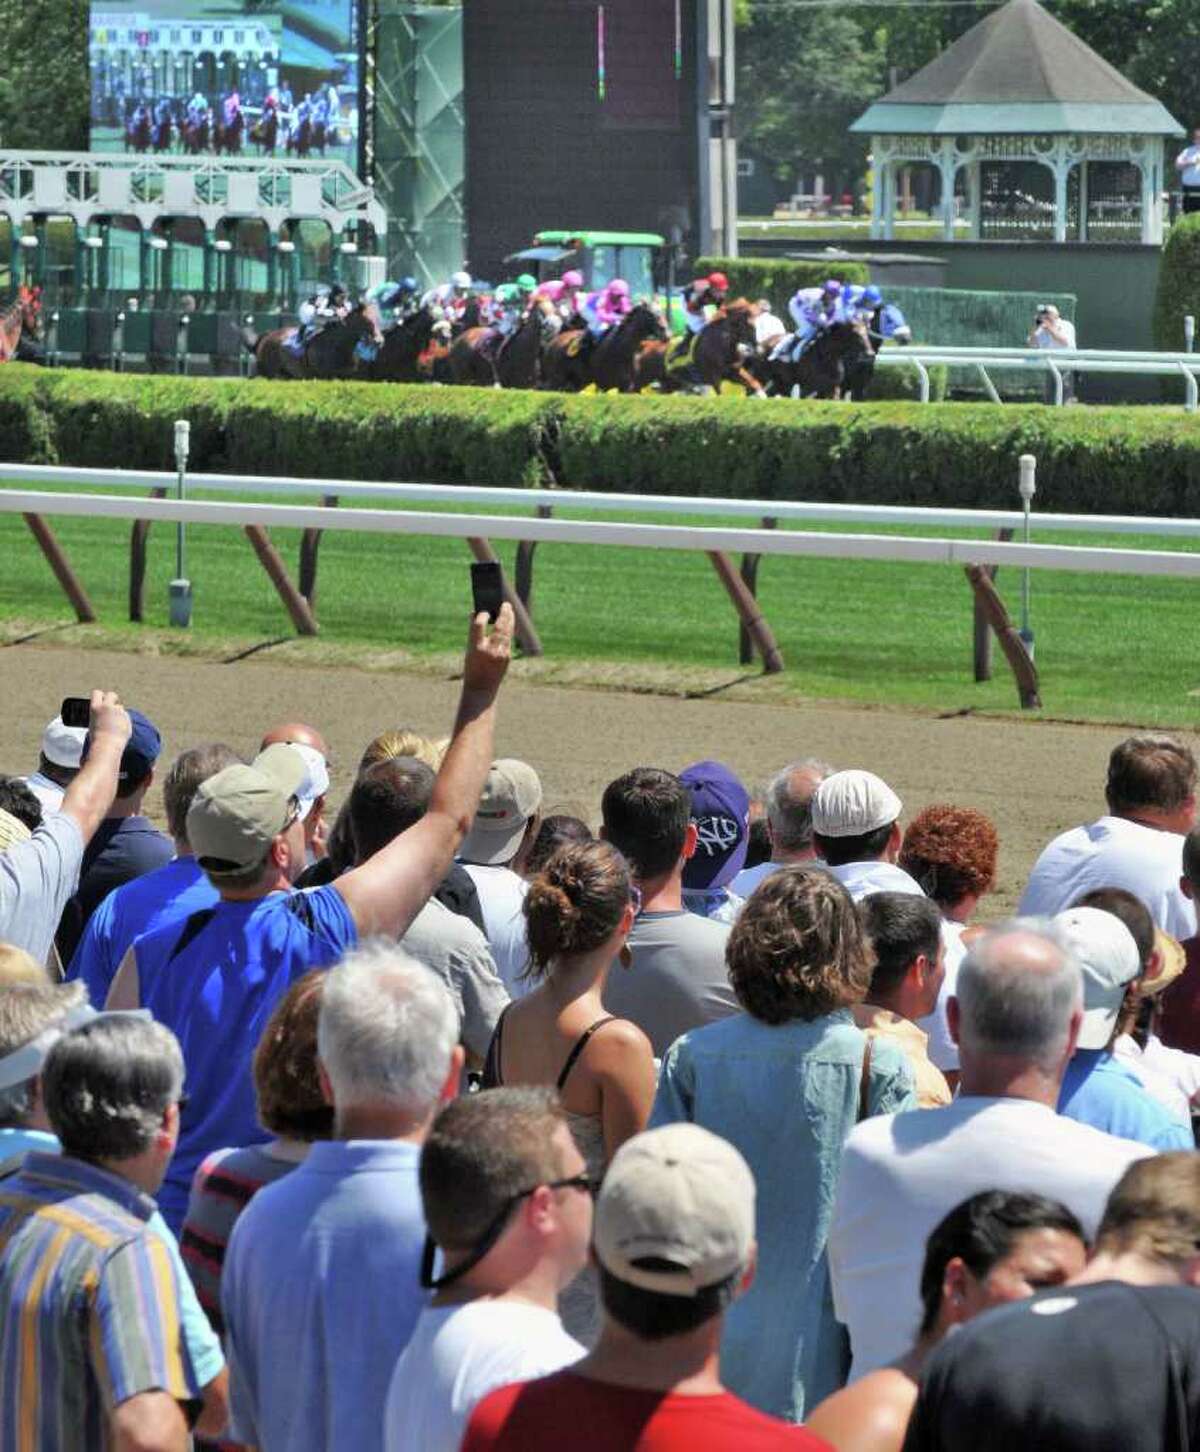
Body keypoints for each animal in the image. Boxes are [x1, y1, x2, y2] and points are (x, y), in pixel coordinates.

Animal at [239, 303, 377, 380]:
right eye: (367, 320)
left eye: (376, 318)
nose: (378, 340)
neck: (338, 346)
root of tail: (266, 336)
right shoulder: (324, 376)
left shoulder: (348, 376)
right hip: (269, 373)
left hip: (287, 375)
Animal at [540, 300, 668, 392]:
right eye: (651, 314)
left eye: (662, 312)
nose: (666, 333)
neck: (624, 349)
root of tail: (553, 342)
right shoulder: (605, 384)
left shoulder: (628, 386)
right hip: (556, 379)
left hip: (576, 383)